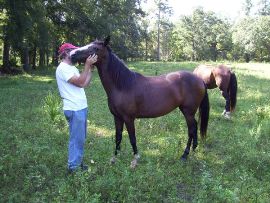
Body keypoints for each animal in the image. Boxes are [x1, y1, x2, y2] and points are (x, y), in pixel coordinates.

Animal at [69, 37, 209, 167]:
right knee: (194, 128)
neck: (123, 85)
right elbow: (118, 137)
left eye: (95, 48)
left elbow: (132, 138)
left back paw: (185, 155)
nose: (72, 54)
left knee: (191, 129)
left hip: (188, 112)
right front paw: (114, 158)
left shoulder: (129, 118)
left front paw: (135, 159)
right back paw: (193, 150)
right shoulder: (117, 117)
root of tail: (199, 79)